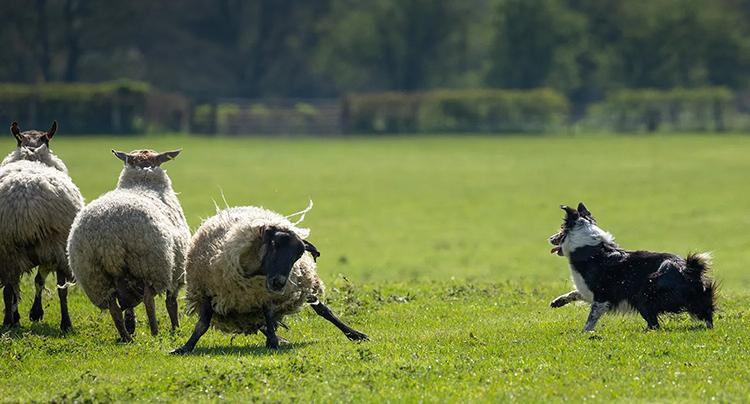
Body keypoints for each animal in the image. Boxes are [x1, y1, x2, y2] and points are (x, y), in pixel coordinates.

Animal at [0, 121, 84, 332]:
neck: (31, 153)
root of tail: (25, 203)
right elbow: (39, 280)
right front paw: (35, 313)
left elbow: (35, 281)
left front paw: (31, 314)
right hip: (56, 245)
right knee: (59, 289)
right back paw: (65, 323)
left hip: (12, 248)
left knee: (10, 287)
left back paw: (10, 321)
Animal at [67, 149, 190, 342]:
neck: (140, 182)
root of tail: (108, 237)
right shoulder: (176, 270)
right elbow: (171, 303)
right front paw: (175, 329)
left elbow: (129, 308)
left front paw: (131, 325)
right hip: (150, 264)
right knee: (148, 300)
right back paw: (154, 332)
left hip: (95, 276)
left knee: (114, 309)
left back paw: (126, 337)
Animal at [171, 205, 368, 354]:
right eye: (274, 244)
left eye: (298, 255)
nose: (279, 282)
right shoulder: (206, 291)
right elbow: (202, 325)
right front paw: (185, 347)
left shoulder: (264, 294)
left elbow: (268, 315)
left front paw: (273, 341)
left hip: (301, 285)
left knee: (322, 309)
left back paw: (354, 334)